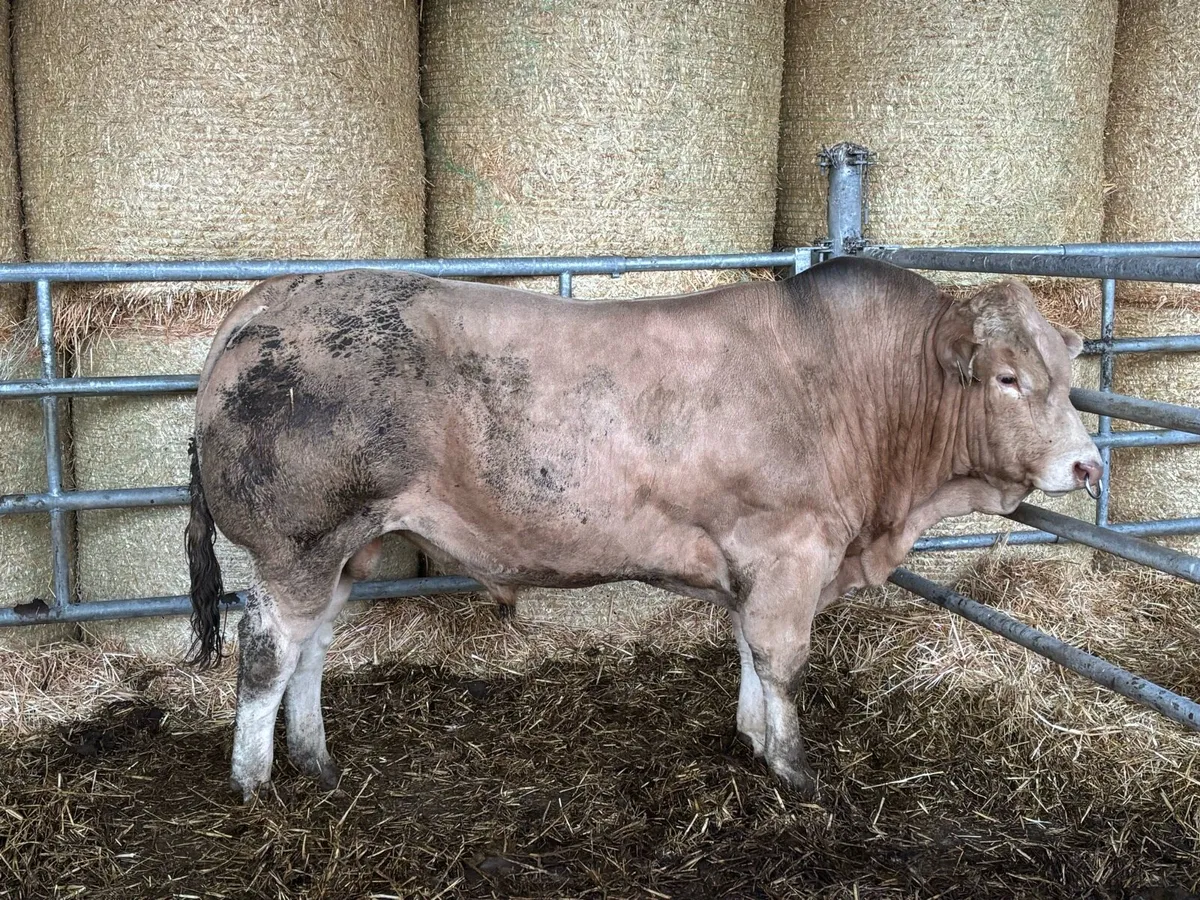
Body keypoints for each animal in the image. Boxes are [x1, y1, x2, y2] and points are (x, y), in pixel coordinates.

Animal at [185, 256, 1102, 801]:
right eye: (1009, 378)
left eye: (1069, 372)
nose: (1089, 466)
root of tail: (277, 291)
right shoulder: (789, 548)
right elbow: (781, 659)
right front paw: (796, 772)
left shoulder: (753, 559)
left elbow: (746, 650)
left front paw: (751, 738)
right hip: (299, 541)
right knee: (267, 648)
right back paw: (255, 781)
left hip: (349, 548)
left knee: (313, 648)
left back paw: (317, 759)